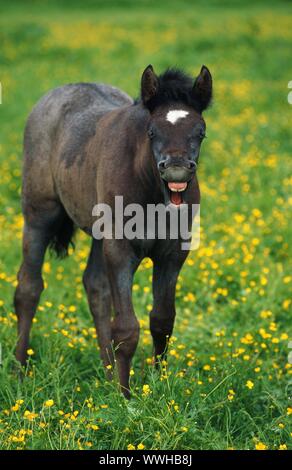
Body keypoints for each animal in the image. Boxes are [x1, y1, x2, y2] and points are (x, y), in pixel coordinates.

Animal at [14, 65, 211, 396]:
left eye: (200, 131)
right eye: (151, 131)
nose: (176, 170)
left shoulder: (173, 253)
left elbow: (162, 320)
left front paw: (159, 387)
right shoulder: (120, 250)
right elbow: (127, 328)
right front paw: (125, 397)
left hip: (98, 231)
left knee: (95, 286)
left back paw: (106, 375)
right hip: (39, 213)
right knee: (28, 288)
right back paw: (18, 371)